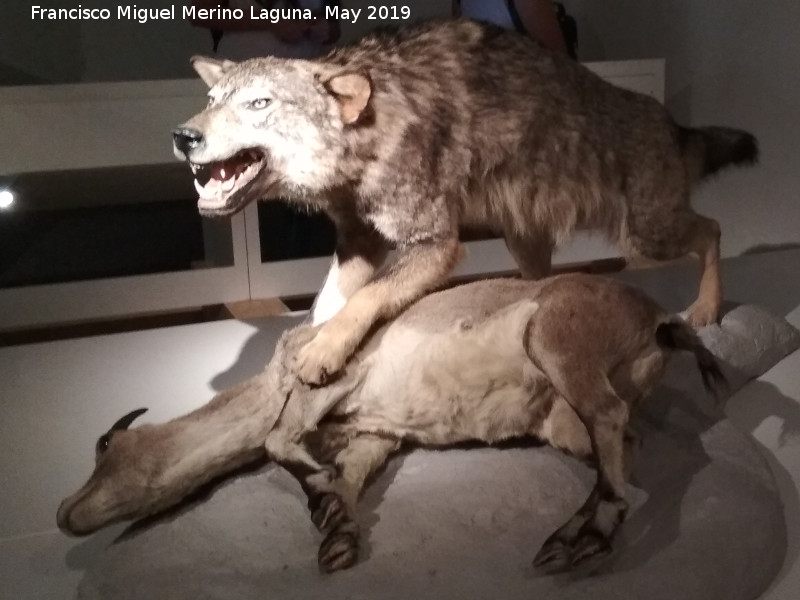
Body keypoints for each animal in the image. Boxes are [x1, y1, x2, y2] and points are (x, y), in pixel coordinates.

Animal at [170, 19, 756, 384]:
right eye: (212, 101)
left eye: (259, 103)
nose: (183, 135)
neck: (370, 132)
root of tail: (674, 125)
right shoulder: (358, 240)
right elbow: (330, 301)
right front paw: (310, 343)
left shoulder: (436, 245)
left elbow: (364, 300)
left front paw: (324, 352)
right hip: (528, 240)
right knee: (543, 283)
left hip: (646, 236)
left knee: (713, 229)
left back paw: (707, 307)